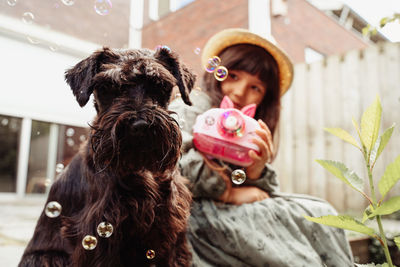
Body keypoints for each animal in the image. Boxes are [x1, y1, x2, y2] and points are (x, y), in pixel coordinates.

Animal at [19, 47, 195, 266]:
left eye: (160, 85)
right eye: (108, 87)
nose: (139, 126)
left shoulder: (172, 233)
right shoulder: (99, 235)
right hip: (47, 257)